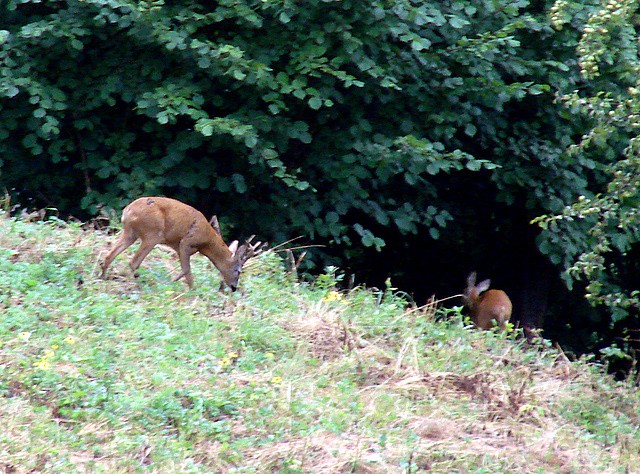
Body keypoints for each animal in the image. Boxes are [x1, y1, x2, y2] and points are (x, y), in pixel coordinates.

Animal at [98, 195, 262, 290]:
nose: (234, 287)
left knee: (109, 255)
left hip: (130, 233)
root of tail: (127, 210)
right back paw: (136, 284)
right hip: (152, 234)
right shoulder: (186, 242)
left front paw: (173, 282)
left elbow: (183, 270)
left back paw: (103, 277)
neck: (206, 243)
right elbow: (187, 271)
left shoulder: (178, 246)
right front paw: (192, 290)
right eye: (238, 271)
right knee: (133, 262)